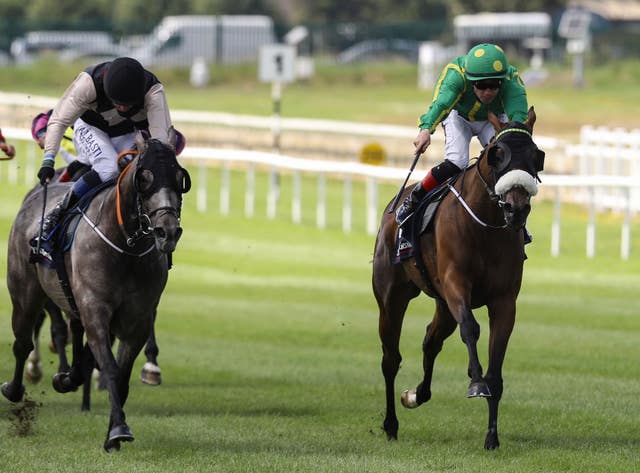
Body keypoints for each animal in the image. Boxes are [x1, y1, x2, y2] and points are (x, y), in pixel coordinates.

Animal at [376, 108, 544, 450]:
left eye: (536, 156)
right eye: (497, 155)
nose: (517, 208)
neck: (485, 226)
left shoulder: (504, 301)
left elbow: (496, 365)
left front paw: (492, 436)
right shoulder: (456, 285)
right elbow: (471, 328)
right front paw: (475, 381)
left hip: (442, 304)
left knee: (431, 341)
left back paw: (416, 395)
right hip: (391, 298)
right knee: (390, 359)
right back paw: (390, 424)